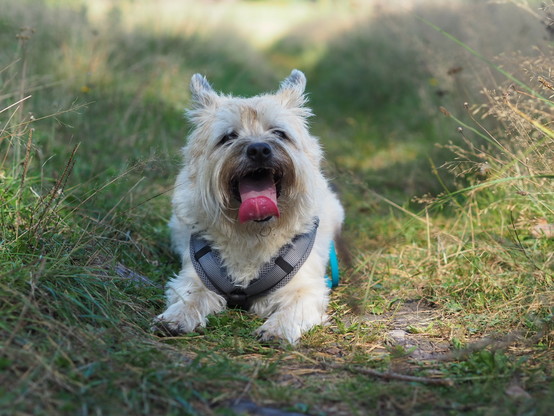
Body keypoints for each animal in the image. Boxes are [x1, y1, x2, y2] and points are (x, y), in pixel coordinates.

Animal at [155, 69, 342, 344]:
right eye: (228, 137)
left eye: (279, 133)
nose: (259, 149)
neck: (253, 232)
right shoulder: (194, 277)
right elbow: (190, 297)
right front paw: (176, 317)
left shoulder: (306, 287)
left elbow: (294, 308)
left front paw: (277, 329)